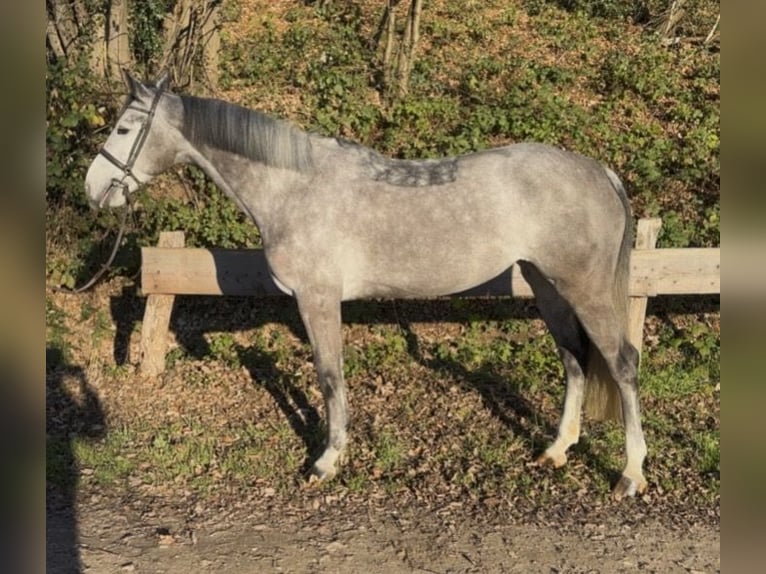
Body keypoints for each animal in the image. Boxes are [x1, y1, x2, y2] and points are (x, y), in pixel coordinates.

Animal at [85, 72, 647, 500]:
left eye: (125, 127)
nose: (93, 190)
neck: (294, 186)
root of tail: (600, 171)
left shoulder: (317, 299)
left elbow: (329, 376)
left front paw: (327, 460)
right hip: (545, 285)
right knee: (574, 358)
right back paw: (556, 450)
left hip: (585, 289)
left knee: (621, 362)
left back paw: (630, 474)